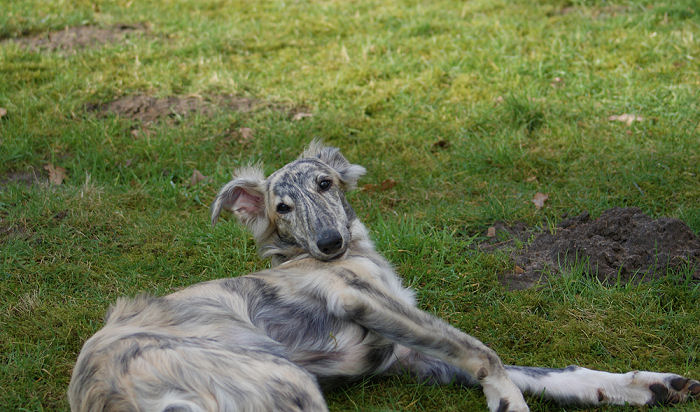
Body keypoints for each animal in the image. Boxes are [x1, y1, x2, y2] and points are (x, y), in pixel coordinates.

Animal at [71, 140, 700, 410]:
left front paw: (643, 385)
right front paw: (505, 402)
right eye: (282, 207)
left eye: (325, 184)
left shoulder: (410, 354)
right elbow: (490, 356)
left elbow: (551, 372)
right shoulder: (359, 299)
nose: (329, 244)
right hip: (281, 381)